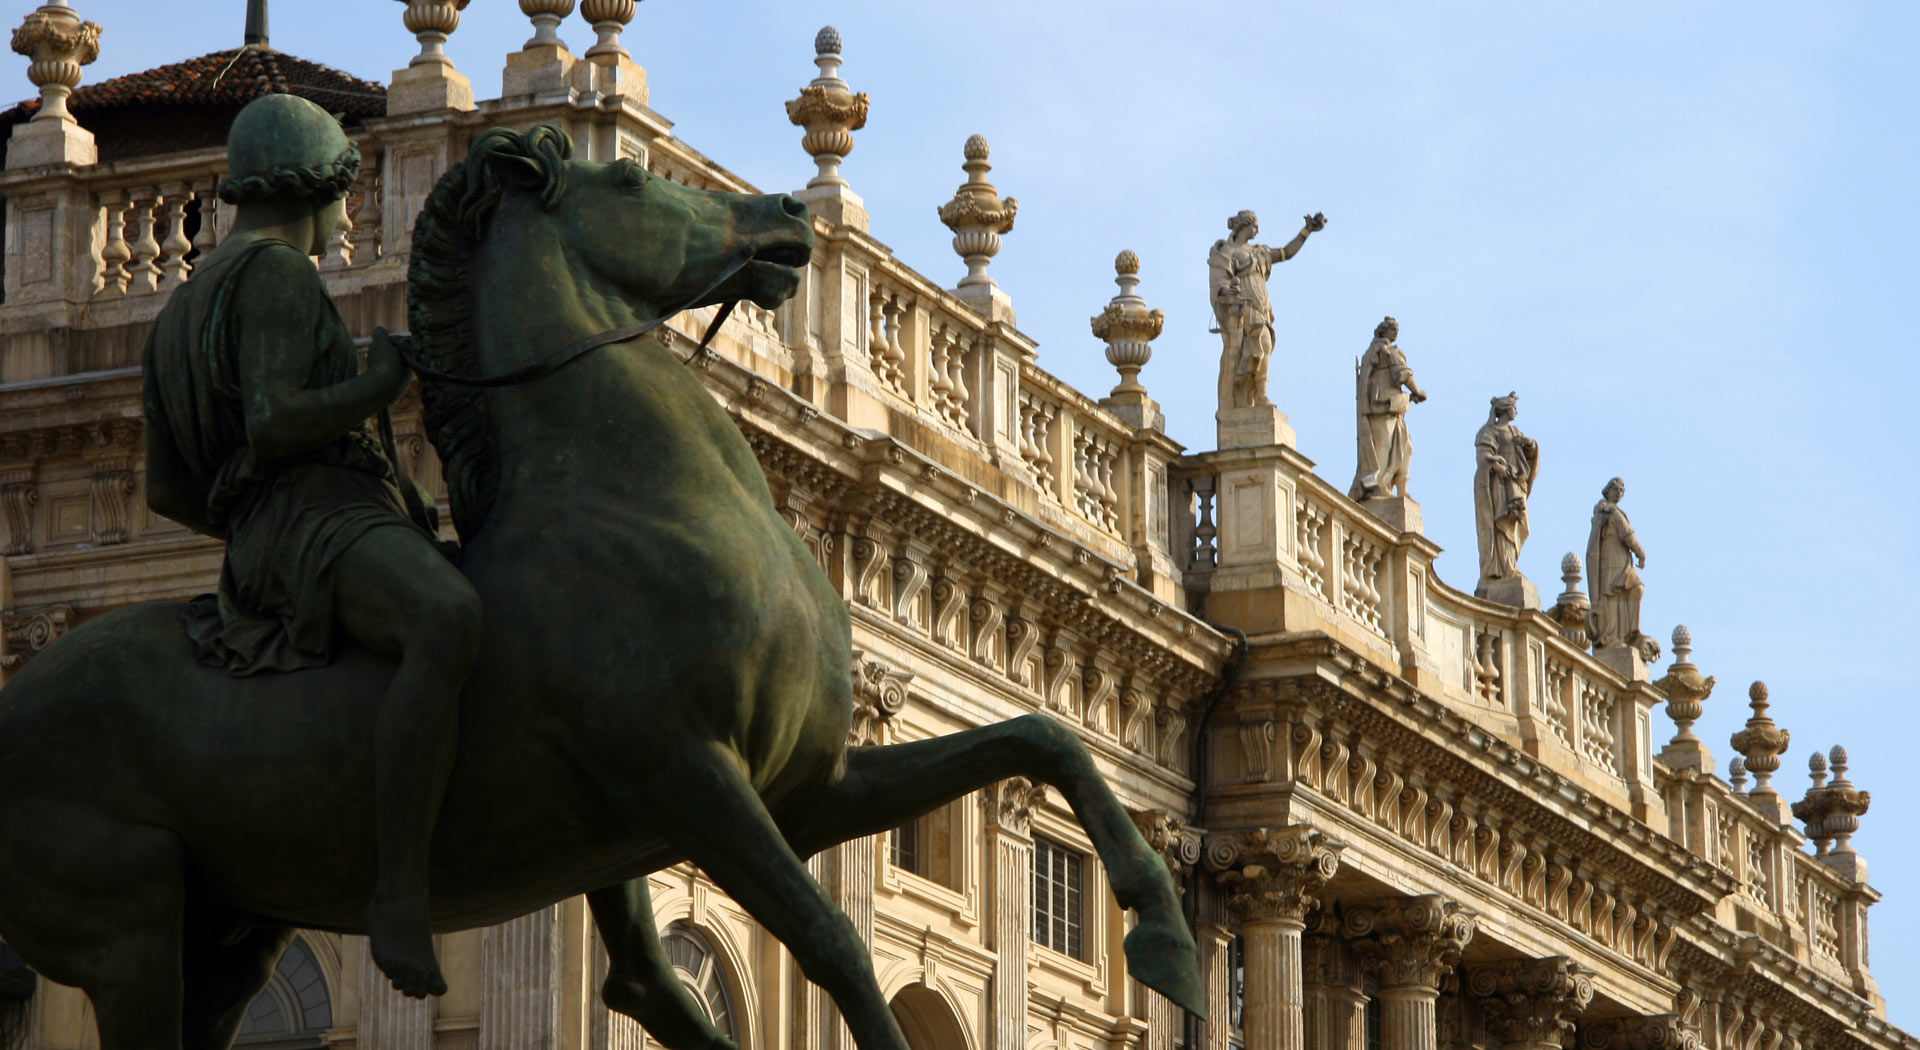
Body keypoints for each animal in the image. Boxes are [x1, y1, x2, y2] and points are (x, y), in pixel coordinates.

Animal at [0, 129, 1198, 1050]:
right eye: (628, 178)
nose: (783, 215)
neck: (631, 503)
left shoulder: (810, 785)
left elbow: (1041, 740)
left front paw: (1168, 939)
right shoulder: (692, 777)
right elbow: (836, 946)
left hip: (230, 928)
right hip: (131, 924)